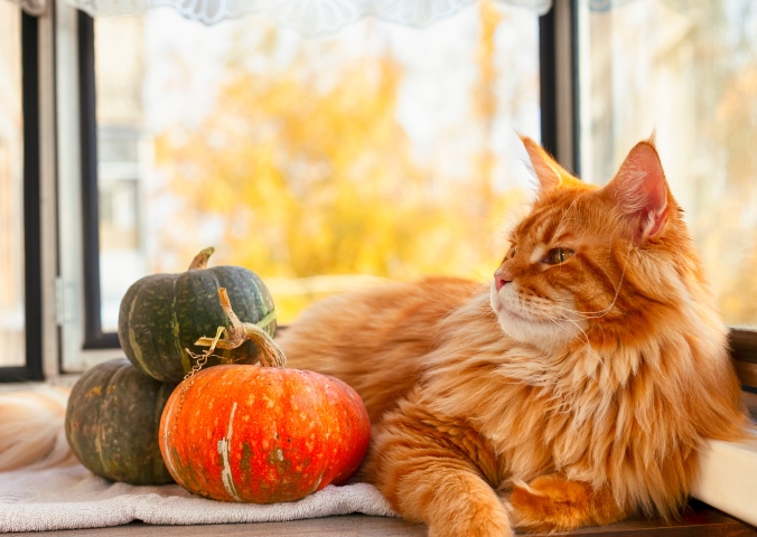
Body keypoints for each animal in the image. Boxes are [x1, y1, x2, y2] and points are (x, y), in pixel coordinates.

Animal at [276, 136, 744, 532]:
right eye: (512, 250)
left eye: (558, 256)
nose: (498, 279)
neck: (572, 377)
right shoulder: (414, 433)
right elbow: (466, 492)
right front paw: (488, 520)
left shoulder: (644, 474)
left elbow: (598, 496)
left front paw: (525, 499)